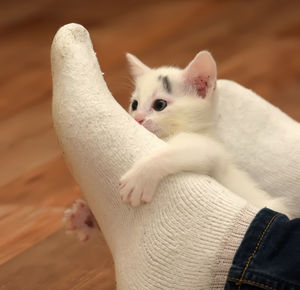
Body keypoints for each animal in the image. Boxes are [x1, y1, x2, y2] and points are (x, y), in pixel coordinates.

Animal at [119, 51, 286, 212]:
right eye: (134, 104)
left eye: (160, 104)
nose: (137, 119)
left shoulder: (214, 154)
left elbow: (179, 152)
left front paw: (139, 178)